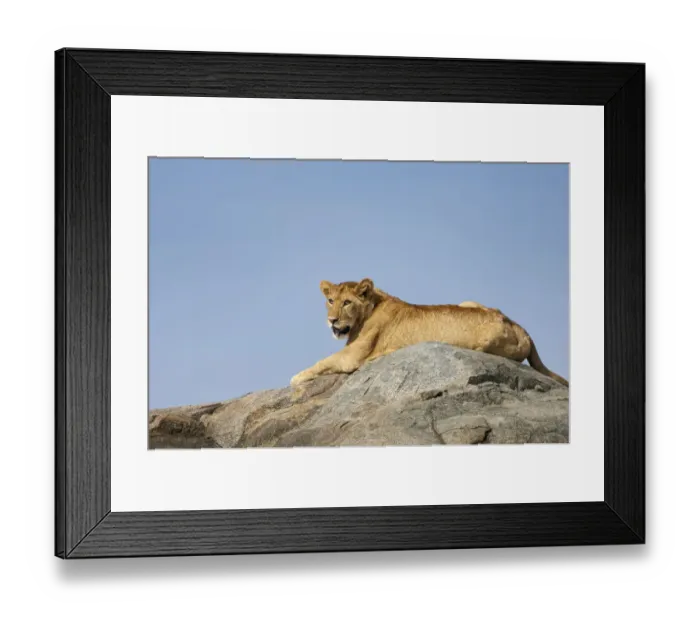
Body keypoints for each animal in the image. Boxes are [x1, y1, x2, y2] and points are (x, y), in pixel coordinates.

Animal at [290, 278, 569, 388]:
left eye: (347, 302)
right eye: (330, 300)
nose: (332, 321)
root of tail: (524, 329)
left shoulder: (353, 356)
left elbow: (323, 362)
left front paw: (296, 378)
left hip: (488, 341)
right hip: (468, 301)